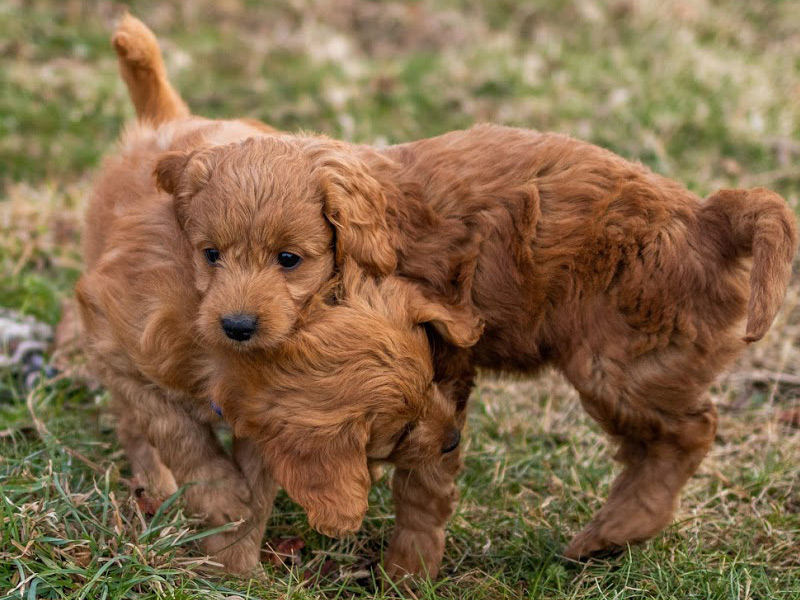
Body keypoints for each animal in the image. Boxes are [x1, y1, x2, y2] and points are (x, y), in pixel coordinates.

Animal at [78, 16, 472, 576]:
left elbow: (258, 485)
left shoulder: (258, 431)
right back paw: (155, 482)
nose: (454, 440)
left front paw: (237, 565)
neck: (217, 358)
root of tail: (165, 120)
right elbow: (172, 426)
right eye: (395, 433)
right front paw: (220, 498)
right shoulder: (113, 337)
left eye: (290, 259)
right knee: (137, 427)